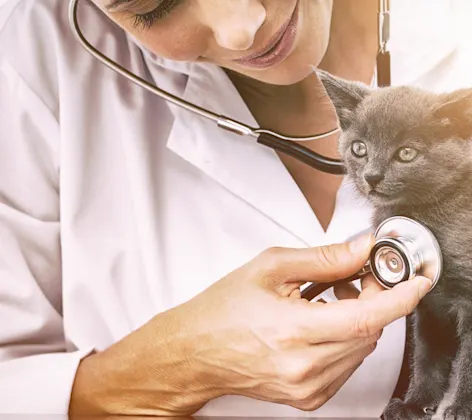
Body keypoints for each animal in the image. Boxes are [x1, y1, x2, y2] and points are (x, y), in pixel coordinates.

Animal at [318, 69, 472, 420]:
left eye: (406, 153)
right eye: (359, 148)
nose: (372, 176)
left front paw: (462, 408)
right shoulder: (429, 302)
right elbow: (427, 356)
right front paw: (415, 404)